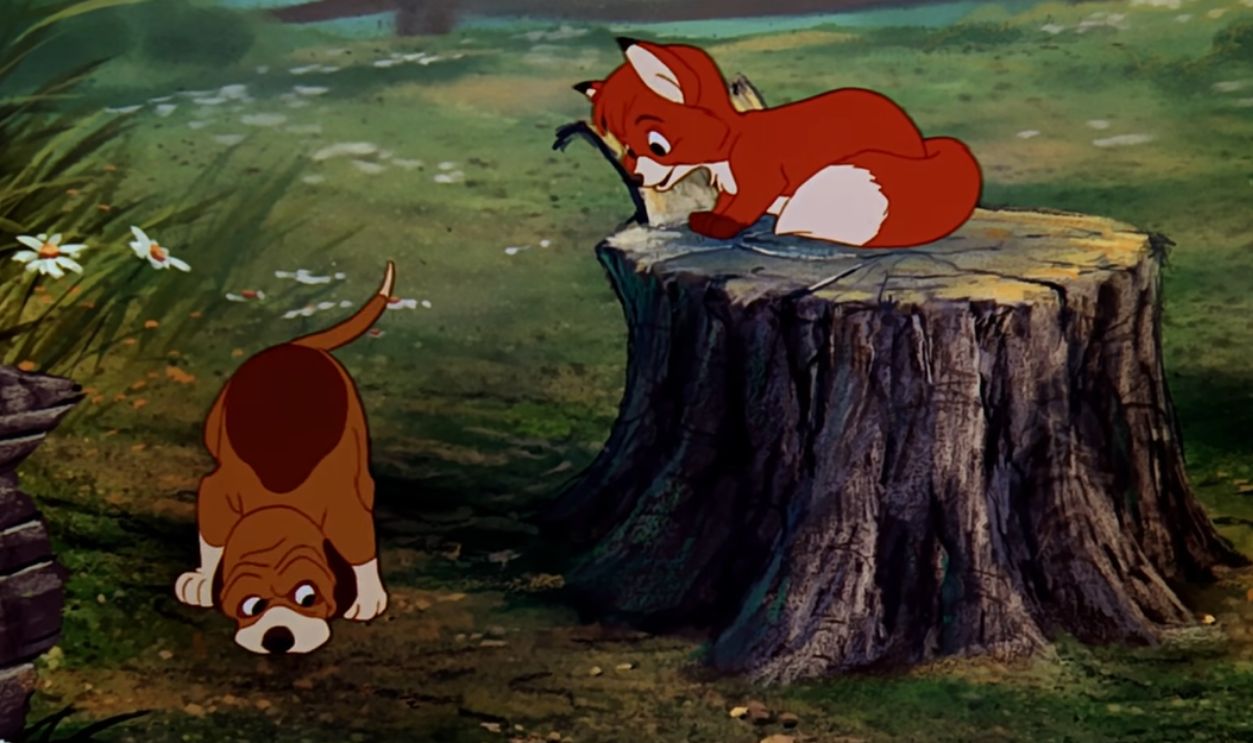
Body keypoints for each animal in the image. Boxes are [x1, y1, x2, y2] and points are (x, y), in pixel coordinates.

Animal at [574, 38, 983, 248]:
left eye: (657, 145)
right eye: (628, 149)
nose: (637, 178)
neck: (731, 144)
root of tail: (923, 145)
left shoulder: (762, 177)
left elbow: (743, 208)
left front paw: (719, 227)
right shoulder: (732, 185)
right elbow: (728, 202)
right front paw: (711, 217)